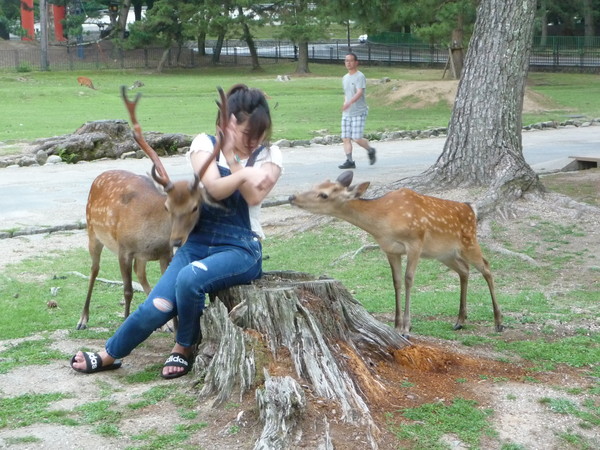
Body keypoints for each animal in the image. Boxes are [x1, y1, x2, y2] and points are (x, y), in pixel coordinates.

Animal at [74, 85, 226, 330]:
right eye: (167, 206)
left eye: (195, 207)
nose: (176, 240)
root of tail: (100, 175)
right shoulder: (124, 249)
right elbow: (127, 291)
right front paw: (124, 321)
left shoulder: (164, 254)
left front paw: (174, 327)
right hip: (92, 230)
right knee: (94, 269)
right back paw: (82, 319)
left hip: (139, 256)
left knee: (141, 274)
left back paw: (164, 324)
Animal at [288, 171, 504, 338]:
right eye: (316, 184)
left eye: (323, 194)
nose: (292, 197)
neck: (384, 221)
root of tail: (471, 209)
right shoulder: (390, 249)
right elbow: (396, 282)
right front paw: (396, 325)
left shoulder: (415, 242)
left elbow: (408, 280)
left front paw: (406, 327)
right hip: (445, 253)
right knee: (464, 270)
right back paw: (460, 320)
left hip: (469, 242)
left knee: (486, 267)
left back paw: (498, 322)